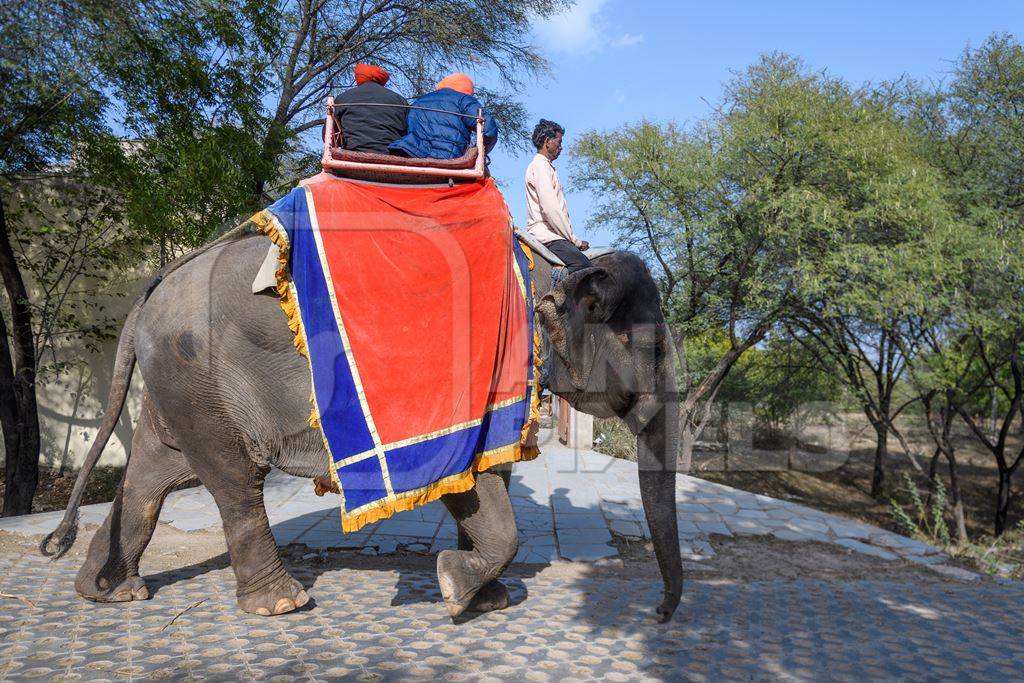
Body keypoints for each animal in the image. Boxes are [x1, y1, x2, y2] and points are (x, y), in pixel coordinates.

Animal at [41, 227, 679, 622]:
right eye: (648, 346)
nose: (659, 613)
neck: (555, 266)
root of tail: (150, 289)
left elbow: (480, 473)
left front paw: (484, 598)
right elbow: (470, 476)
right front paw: (454, 589)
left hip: (177, 382)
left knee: (154, 473)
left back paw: (110, 592)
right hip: (198, 376)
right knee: (232, 478)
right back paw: (283, 604)